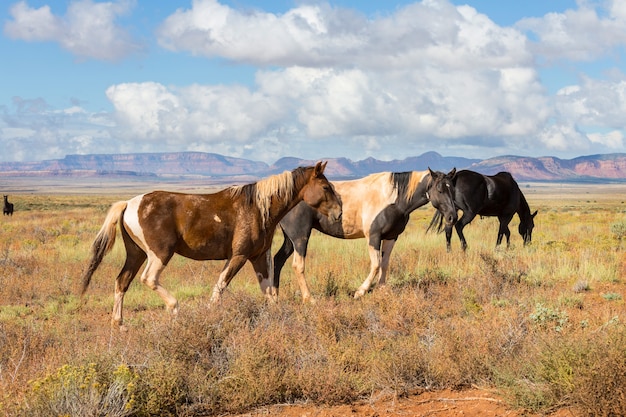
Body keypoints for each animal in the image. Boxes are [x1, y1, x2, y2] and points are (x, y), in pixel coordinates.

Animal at [81, 161, 342, 326]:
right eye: (326, 187)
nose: (339, 213)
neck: (258, 208)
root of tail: (128, 203)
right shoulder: (238, 256)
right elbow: (220, 287)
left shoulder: (258, 257)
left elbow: (268, 292)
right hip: (159, 254)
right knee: (149, 279)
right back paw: (174, 307)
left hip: (136, 254)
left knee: (122, 281)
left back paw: (119, 324)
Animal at [272, 167, 458, 300]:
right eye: (440, 190)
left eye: (452, 189)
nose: (452, 217)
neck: (393, 198)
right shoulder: (373, 237)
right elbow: (375, 264)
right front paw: (360, 292)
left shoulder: (391, 237)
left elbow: (384, 263)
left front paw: (382, 290)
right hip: (300, 237)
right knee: (298, 265)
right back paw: (309, 298)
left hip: (290, 239)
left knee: (278, 260)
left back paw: (274, 298)